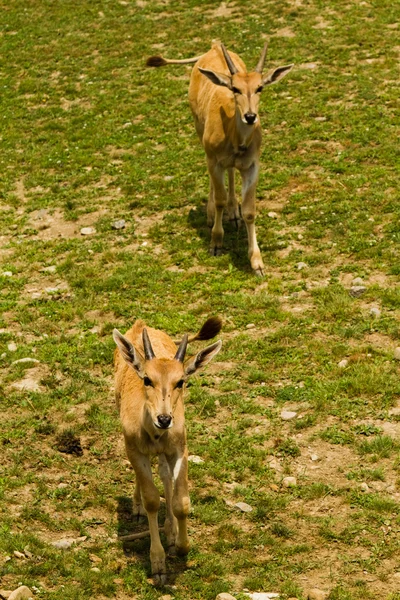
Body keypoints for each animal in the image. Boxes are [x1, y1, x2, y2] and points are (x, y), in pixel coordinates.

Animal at [112, 316, 222, 584]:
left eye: (180, 381)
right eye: (147, 379)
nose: (164, 419)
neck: (153, 435)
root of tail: (140, 324)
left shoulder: (179, 448)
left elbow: (181, 501)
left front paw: (181, 545)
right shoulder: (135, 450)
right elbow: (152, 500)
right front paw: (158, 564)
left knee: (163, 474)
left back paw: (171, 531)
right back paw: (137, 508)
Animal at [147, 42, 294, 276]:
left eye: (260, 88)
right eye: (235, 89)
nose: (250, 116)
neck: (235, 139)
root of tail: (214, 46)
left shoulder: (252, 166)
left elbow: (250, 210)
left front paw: (257, 263)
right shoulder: (214, 161)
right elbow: (219, 199)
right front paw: (216, 243)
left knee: (231, 172)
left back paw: (234, 213)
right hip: (200, 133)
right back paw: (210, 215)